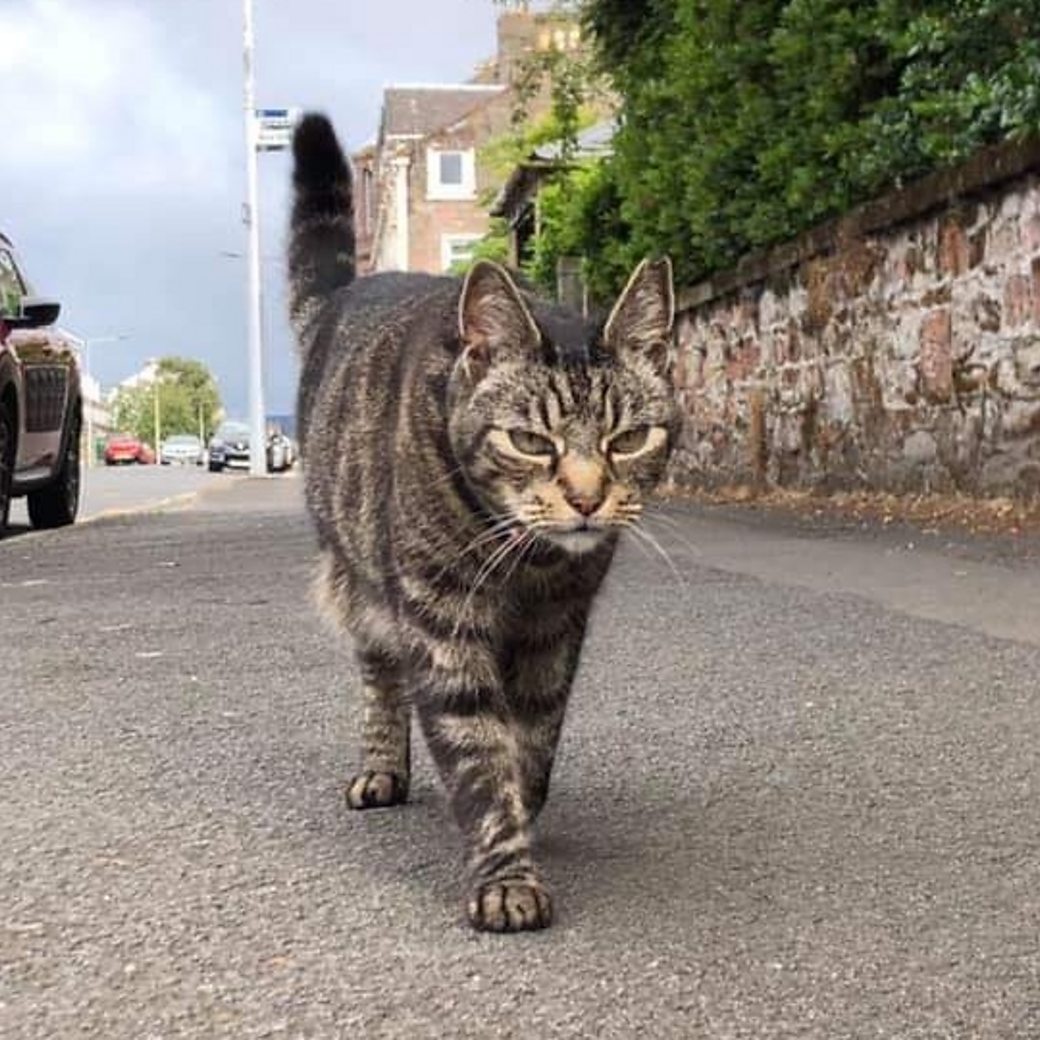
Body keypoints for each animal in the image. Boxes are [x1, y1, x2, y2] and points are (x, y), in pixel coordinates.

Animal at [289, 113, 682, 935]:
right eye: (530, 441)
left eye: (629, 439)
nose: (588, 499)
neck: (530, 565)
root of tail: (351, 291)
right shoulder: (440, 618)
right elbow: (477, 748)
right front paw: (505, 872)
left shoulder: (555, 626)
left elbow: (532, 736)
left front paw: (524, 810)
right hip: (357, 579)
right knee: (380, 674)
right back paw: (382, 767)